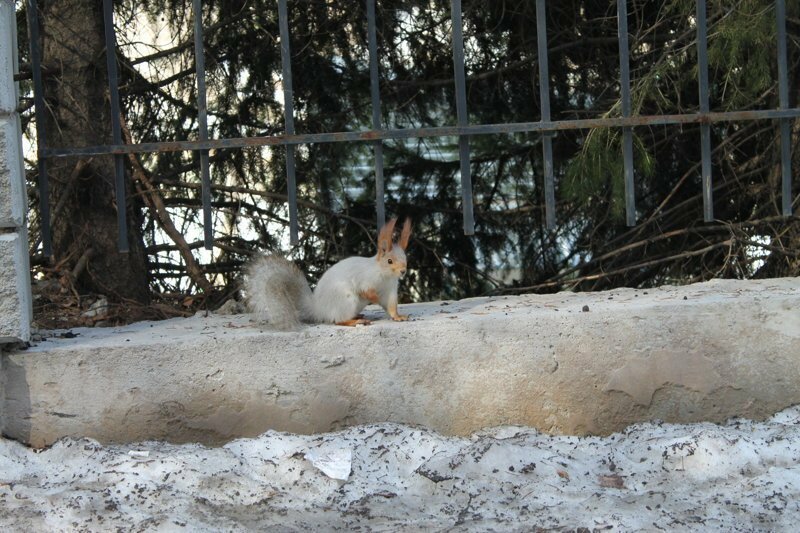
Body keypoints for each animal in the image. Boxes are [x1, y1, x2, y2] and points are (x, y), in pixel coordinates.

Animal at [244, 217, 412, 328]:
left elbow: (391, 306)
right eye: (389, 261)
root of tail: (319, 309)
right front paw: (374, 297)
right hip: (346, 300)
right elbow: (365, 290)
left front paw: (398, 317)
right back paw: (356, 321)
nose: (403, 271)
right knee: (338, 320)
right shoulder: (364, 279)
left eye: (405, 258)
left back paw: (358, 315)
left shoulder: (390, 290)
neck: (385, 275)